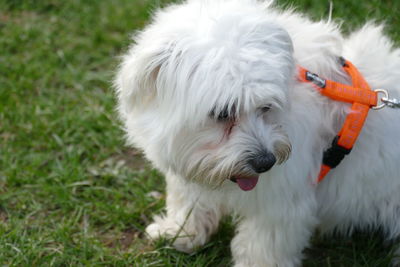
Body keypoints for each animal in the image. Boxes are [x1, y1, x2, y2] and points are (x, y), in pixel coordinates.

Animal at [113, 1, 400, 266]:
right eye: (223, 113)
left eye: (266, 107)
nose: (265, 162)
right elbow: (189, 200)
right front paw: (179, 233)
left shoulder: (280, 201)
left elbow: (262, 247)